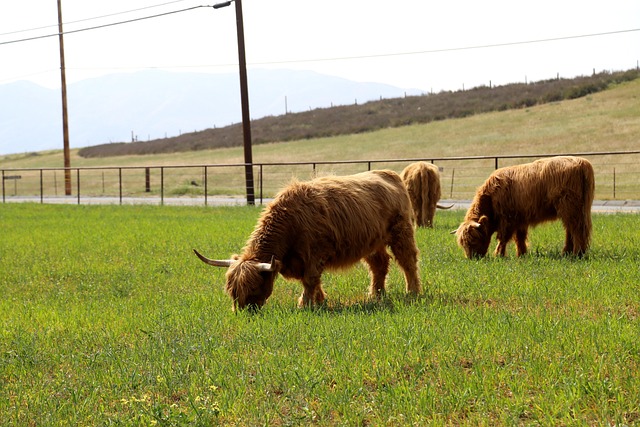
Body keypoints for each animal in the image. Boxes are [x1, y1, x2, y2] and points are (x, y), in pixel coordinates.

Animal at [194, 170, 422, 310]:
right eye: (231, 290)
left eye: (254, 287)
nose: (243, 312)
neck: (291, 221)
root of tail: (390, 174)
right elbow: (313, 281)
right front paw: (320, 301)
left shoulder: (315, 253)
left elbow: (310, 279)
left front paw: (305, 304)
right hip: (372, 241)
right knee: (379, 265)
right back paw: (376, 295)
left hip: (401, 232)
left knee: (408, 262)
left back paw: (412, 292)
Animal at [453, 156, 594, 258]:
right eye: (463, 244)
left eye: (474, 239)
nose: (472, 258)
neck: (491, 197)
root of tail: (581, 162)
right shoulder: (520, 219)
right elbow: (519, 238)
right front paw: (521, 254)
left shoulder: (507, 219)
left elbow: (503, 238)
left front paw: (499, 255)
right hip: (575, 209)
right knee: (571, 229)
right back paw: (567, 252)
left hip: (569, 207)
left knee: (576, 229)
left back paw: (576, 254)